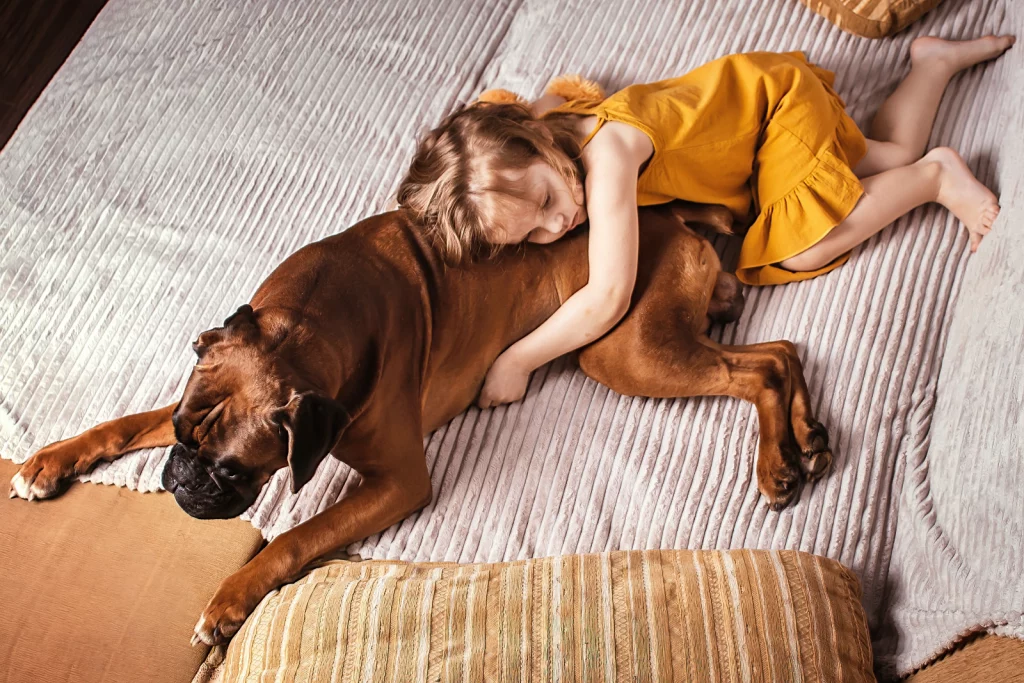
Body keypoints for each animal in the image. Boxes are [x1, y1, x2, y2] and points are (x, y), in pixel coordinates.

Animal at [8, 203, 832, 645]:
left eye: (234, 472)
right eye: (183, 440)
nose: (180, 481)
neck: (306, 324)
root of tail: (670, 212)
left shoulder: (399, 481)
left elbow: (297, 538)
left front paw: (227, 601)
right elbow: (125, 422)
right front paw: (49, 460)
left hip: (623, 351)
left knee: (757, 370)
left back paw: (774, 465)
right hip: (657, 341)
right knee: (781, 352)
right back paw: (807, 442)